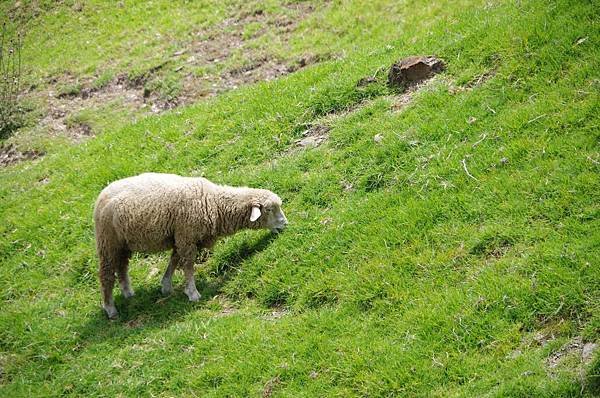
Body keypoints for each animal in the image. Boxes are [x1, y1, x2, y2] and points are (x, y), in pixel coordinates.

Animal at [94, 173, 288, 318]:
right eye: (269, 209)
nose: (285, 224)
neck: (214, 202)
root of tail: (100, 197)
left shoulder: (181, 235)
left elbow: (174, 259)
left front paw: (166, 286)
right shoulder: (186, 235)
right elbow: (187, 265)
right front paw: (192, 293)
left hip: (122, 244)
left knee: (122, 266)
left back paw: (128, 293)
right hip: (107, 241)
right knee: (106, 274)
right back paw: (110, 308)